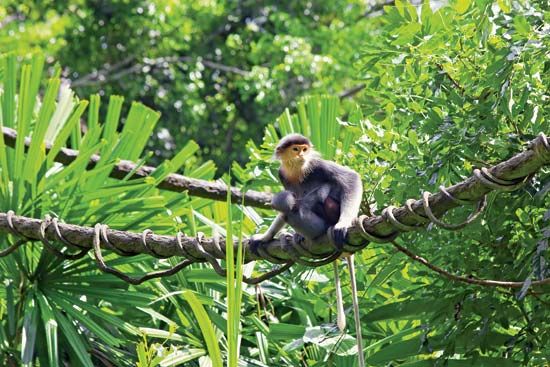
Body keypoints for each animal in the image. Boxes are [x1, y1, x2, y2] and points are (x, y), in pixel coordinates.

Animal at [251, 135, 364, 367]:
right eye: (296, 149)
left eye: (304, 149)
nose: (302, 155)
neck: (297, 170)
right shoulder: (282, 174)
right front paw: (264, 237)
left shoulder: (317, 165)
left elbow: (350, 178)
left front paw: (344, 223)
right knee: (287, 202)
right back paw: (297, 236)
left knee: (308, 196)